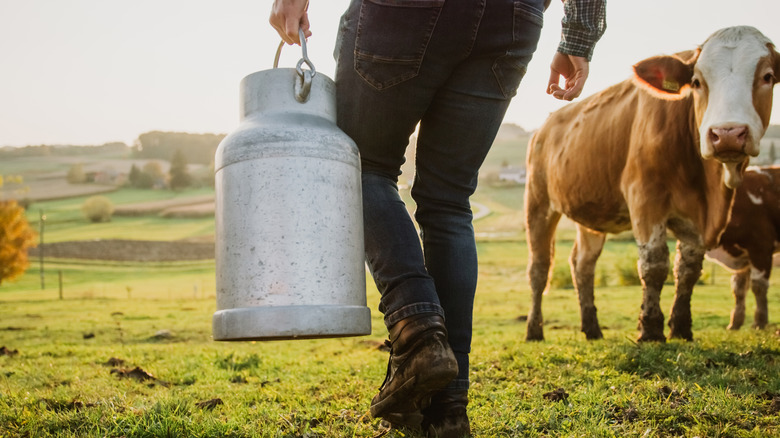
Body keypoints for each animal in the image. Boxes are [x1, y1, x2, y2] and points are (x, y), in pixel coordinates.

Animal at [706, 165, 780, 330]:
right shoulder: (742, 257)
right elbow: (738, 289)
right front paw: (735, 323)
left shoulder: (761, 249)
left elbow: (758, 286)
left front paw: (760, 322)